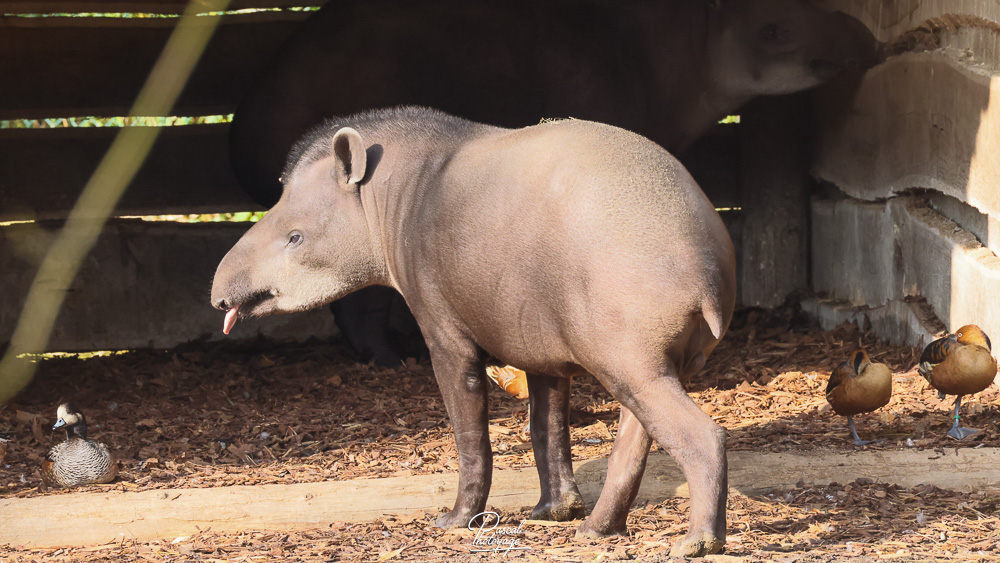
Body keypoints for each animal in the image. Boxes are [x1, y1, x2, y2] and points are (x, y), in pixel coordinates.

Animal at [213, 106, 737, 557]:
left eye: (295, 237)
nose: (219, 295)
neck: (394, 195)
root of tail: (709, 266)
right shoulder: (538, 338)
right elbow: (546, 427)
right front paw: (554, 511)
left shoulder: (442, 325)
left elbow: (469, 431)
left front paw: (457, 519)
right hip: (644, 358)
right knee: (634, 436)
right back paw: (596, 529)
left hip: (631, 349)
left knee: (700, 435)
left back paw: (698, 541)